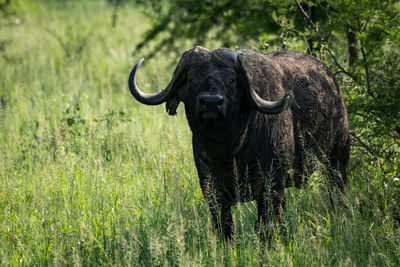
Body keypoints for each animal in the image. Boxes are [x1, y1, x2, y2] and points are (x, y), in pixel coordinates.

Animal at [128, 46, 350, 241]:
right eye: (191, 79)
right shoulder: (212, 190)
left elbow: (265, 228)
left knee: (338, 191)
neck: (230, 151)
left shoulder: (270, 187)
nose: (210, 102)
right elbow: (225, 227)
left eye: (231, 80)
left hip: (338, 159)